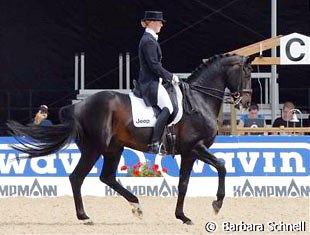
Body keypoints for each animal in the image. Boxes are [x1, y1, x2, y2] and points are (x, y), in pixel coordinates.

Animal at [7, 54, 252, 225]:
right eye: (248, 73)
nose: (246, 103)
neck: (199, 100)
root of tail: (77, 106)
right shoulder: (196, 147)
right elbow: (222, 166)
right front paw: (217, 203)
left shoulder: (189, 153)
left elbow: (184, 184)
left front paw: (182, 216)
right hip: (94, 148)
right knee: (77, 178)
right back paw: (85, 216)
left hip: (113, 148)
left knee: (107, 177)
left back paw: (136, 206)